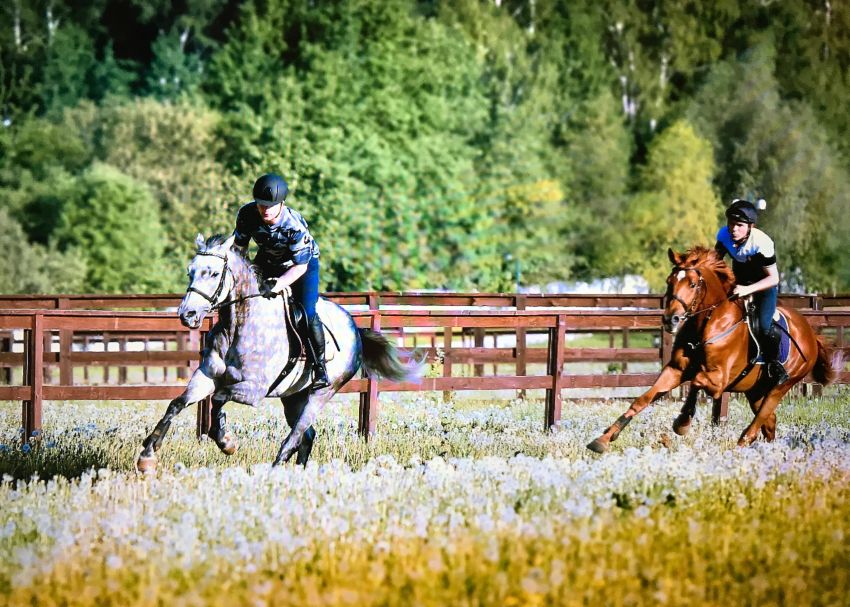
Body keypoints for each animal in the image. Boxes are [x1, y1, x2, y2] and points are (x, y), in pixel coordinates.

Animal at [135, 235, 420, 472]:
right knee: (307, 436)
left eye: (214, 273)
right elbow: (177, 403)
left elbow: (218, 398)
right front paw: (148, 454)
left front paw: (226, 441)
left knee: (295, 436)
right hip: (293, 397)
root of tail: (355, 329)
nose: (187, 314)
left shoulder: (253, 390)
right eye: (190, 272)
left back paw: (274, 472)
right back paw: (296, 473)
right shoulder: (206, 376)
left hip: (321, 394)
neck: (240, 324)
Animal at [588, 245, 840, 454]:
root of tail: (811, 333)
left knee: (757, 422)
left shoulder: (718, 380)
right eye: (670, 281)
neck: (707, 324)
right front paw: (603, 439)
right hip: (755, 391)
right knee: (769, 423)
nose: (671, 320)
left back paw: (739, 450)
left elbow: (697, 381)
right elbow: (642, 400)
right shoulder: (675, 369)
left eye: (692, 284)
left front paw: (682, 422)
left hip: (781, 385)